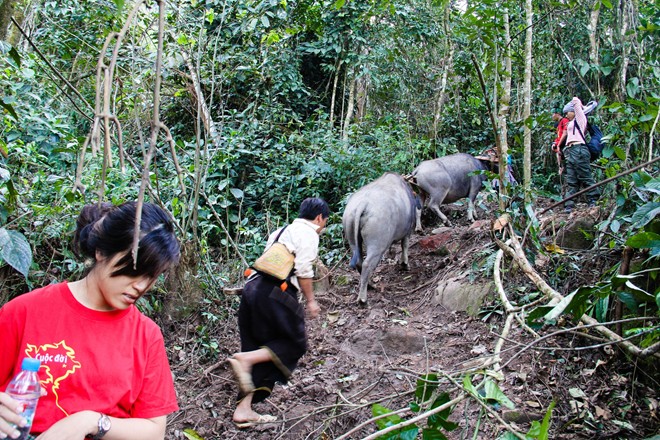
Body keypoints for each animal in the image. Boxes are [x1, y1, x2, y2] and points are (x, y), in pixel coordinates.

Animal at [342, 173, 420, 306]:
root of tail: (363, 204)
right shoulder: (408, 231)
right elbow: (404, 245)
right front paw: (405, 264)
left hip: (351, 236)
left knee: (359, 262)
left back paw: (370, 285)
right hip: (377, 245)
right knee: (367, 264)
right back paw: (363, 299)